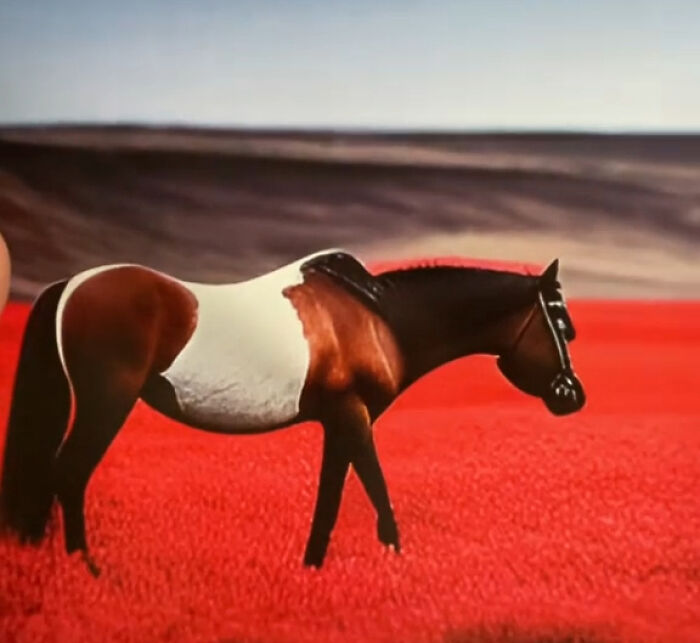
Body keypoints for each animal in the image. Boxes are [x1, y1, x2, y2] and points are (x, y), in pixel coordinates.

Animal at [0, 249, 585, 576]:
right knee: (70, 472)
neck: (378, 318)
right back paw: (87, 569)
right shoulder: (353, 415)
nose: (572, 395)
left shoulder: (340, 420)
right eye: (560, 322)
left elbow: (332, 494)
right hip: (107, 401)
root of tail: (72, 286)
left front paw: (312, 568)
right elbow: (374, 487)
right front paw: (397, 559)